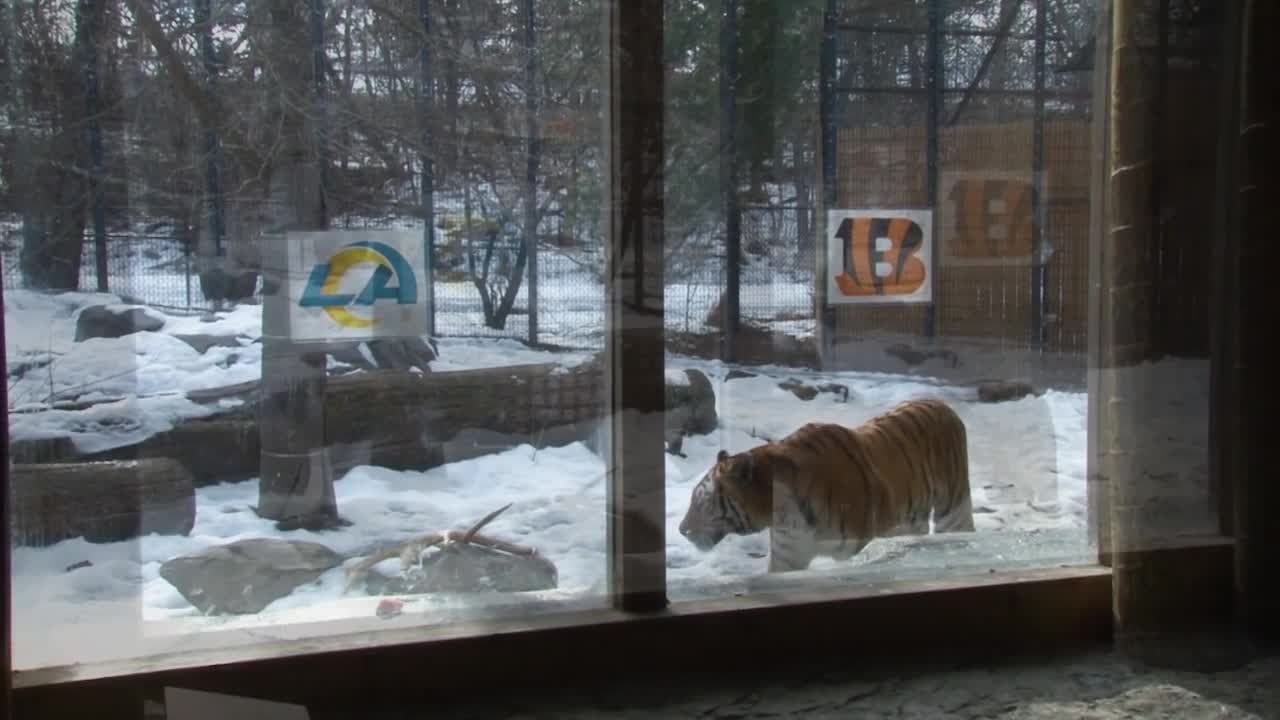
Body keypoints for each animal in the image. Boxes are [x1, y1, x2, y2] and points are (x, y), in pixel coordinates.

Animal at [680, 394, 967, 568]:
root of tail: (939, 401)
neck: (780, 512)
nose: (682, 531)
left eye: (704, 501)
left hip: (952, 507)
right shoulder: (788, 555)